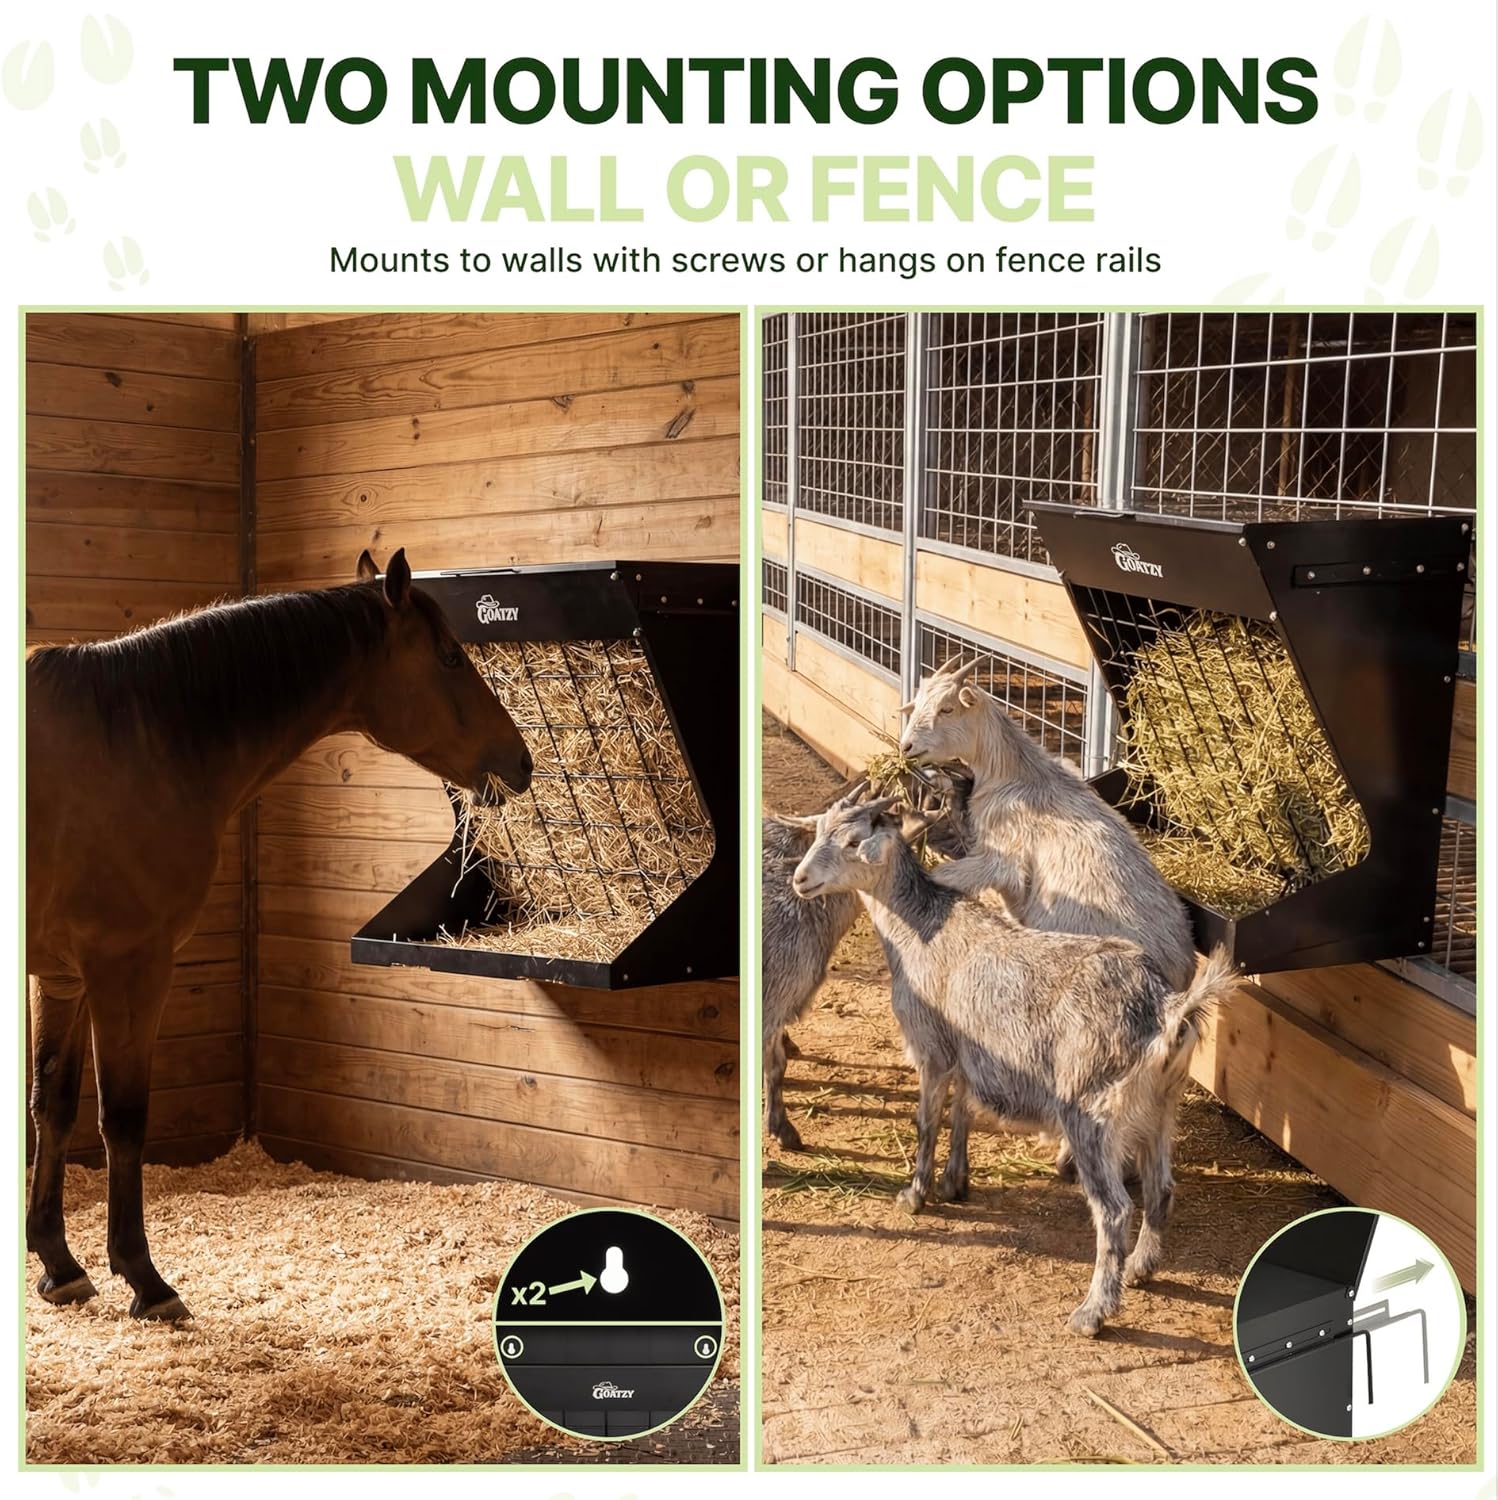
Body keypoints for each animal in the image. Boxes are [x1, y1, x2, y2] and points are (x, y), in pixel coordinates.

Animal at [25, 548, 534, 1320]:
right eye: (449, 655)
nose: (521, 762)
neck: (138, 740)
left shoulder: (62, 976)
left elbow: (52, 1106)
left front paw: (58, 1264)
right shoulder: (128, 968)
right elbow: (125, 1119)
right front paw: (145, 1278)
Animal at [791, 793, 1235, 1335]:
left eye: (854, 841)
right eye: (818, 831)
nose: (801, 880)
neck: (922, 929)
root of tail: (1166, 1010)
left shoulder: (932, 1047)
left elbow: (926, 1122)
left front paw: (915, 1195)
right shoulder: (970, 1052)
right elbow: (962, 1112)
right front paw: (955, 1182)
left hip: (1090, 1112)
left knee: (1113, 1210)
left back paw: (1093, 1312)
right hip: (1159, 1106)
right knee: (1162, 1187)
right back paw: (1140, 1269)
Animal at [899, 655, 1199, 1182]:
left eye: (949, 707)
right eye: (918, 702)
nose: (906, 747)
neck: (1016, 775)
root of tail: (1175, 990)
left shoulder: (1001, 861)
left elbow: (952, 879)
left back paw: (1066, 1156)